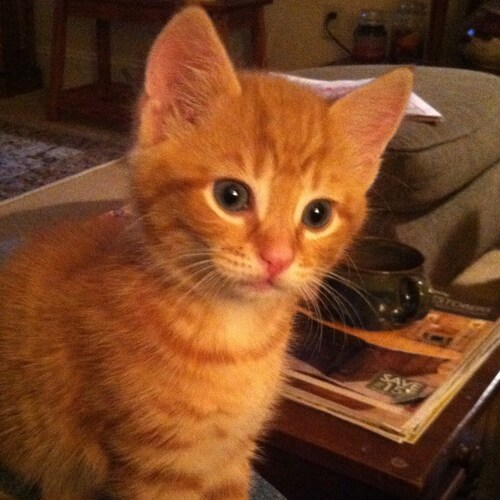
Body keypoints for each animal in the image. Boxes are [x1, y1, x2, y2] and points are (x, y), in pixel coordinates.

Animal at [0, 6, 412, 500]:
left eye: (317, 214)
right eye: (231, 196)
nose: (277, 257)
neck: (236, 340)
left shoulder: (233, 457)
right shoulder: (155, 472)